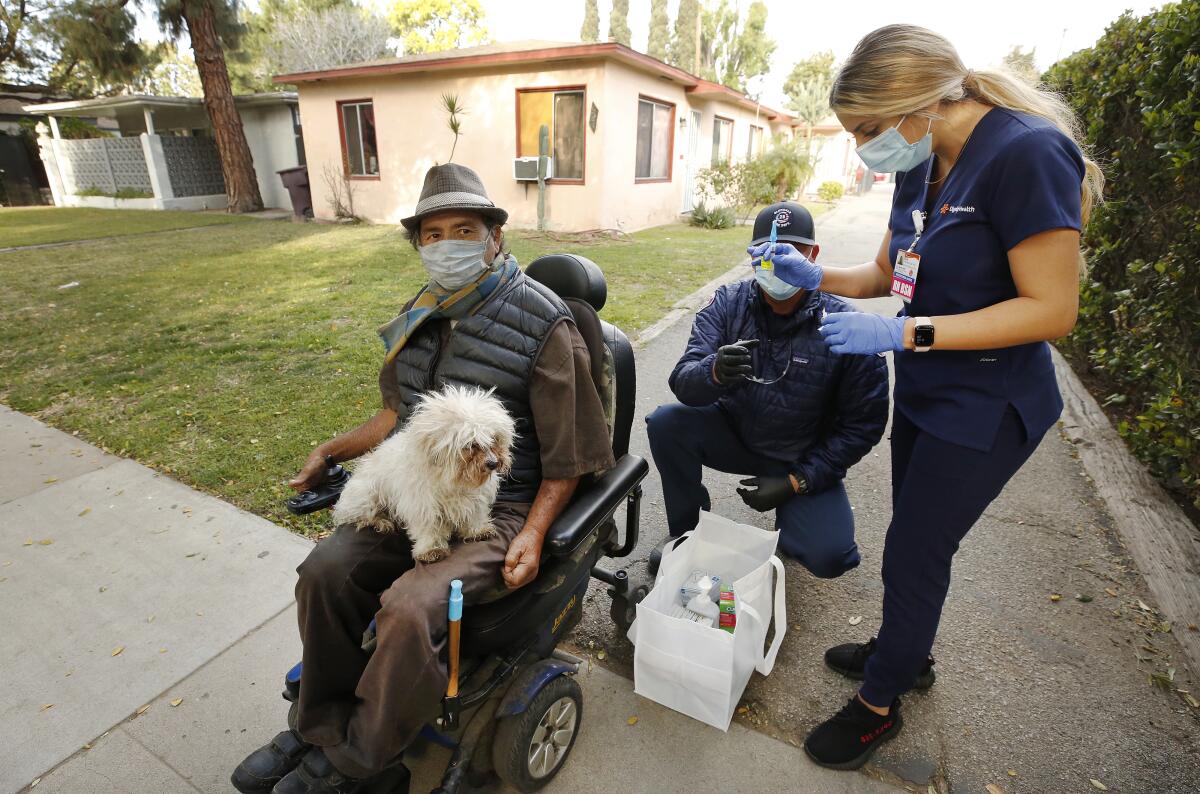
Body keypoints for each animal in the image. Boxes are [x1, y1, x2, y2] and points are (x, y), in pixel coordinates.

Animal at [331, 386, 513, 566]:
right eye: (471, 445)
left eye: (494, 439)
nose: (493, 463)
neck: (452, 479)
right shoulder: (422, 504)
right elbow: (428, 528)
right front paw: (431, 549)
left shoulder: (475, 498)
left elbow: (475, 514)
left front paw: (477, 530)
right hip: (366, 495)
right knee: (355, 515)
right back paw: (380, 521)